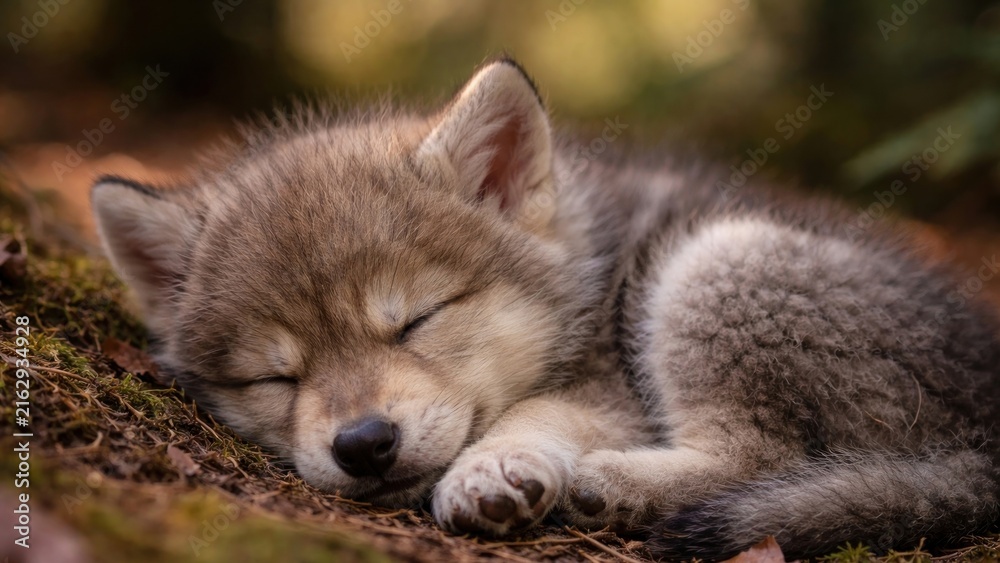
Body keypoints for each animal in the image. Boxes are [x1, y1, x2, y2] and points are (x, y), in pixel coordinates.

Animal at [91, 58, 1000, 560]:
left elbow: (535, 410)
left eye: (416, 319)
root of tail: (983, 429)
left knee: (757, 454)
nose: (364, 443)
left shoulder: (613, 384)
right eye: (276, 376)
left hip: (720, 262)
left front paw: (492, 467)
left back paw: (615, 487)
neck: (585, 270)